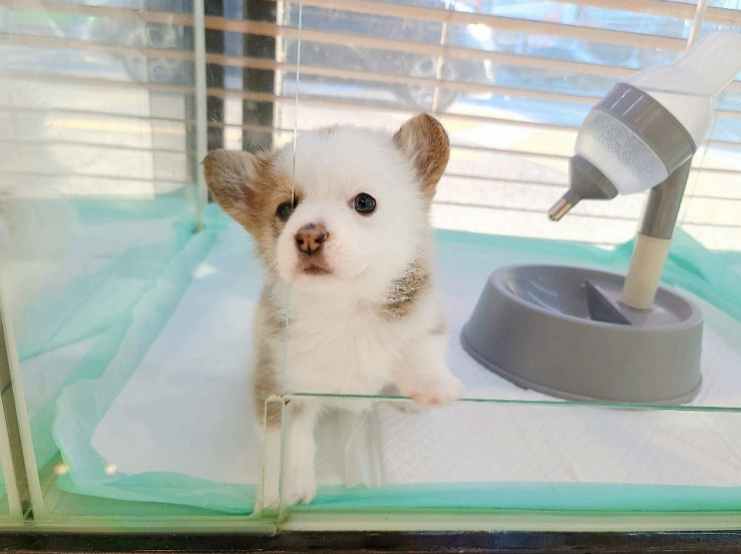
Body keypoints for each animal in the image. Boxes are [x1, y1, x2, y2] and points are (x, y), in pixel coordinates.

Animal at [203, 113, 463, 508]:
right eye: (285, 209)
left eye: (365, 202)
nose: (309, 236)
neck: (344, 306)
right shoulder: (280, 383)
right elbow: (289, 441)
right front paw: (286, 486)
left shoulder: (426, 315)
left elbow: (422, 348)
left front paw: (432, 387)